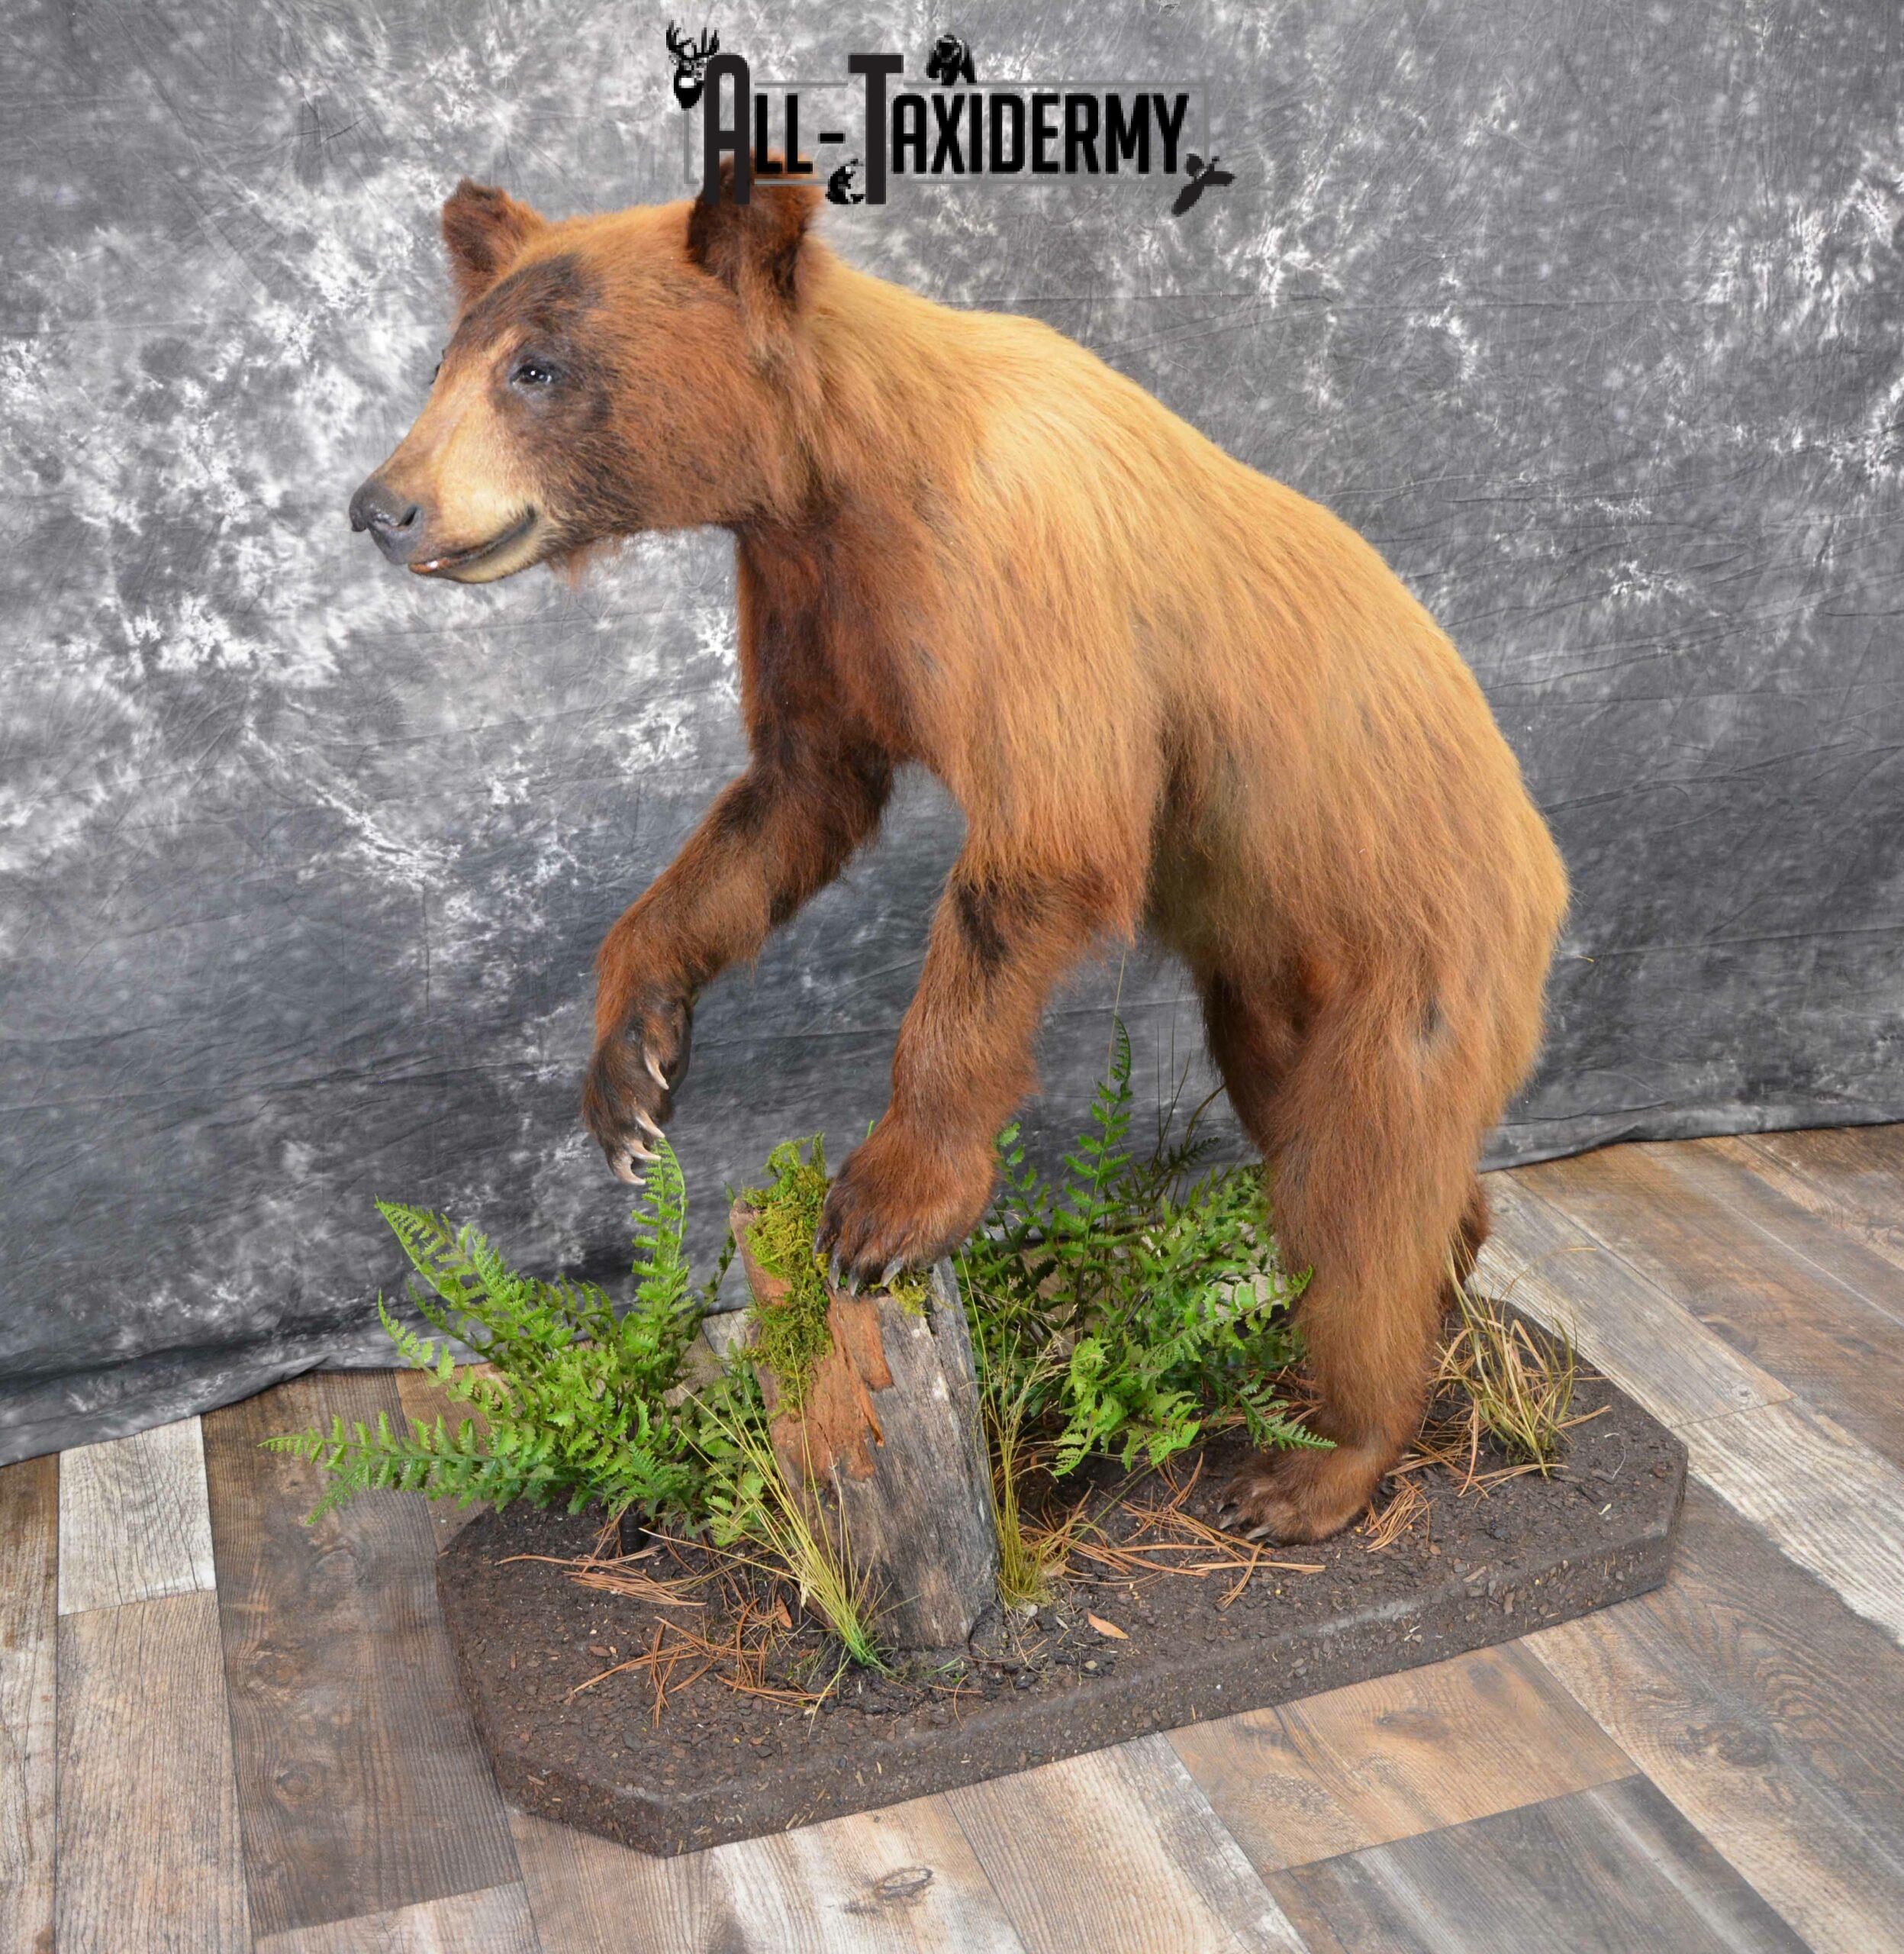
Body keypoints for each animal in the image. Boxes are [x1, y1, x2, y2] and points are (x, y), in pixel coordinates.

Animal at [348, 169, 1569, 1541]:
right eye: (447, 359)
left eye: (537, 368)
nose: (380, 504)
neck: (844, 467)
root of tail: (1543, 871)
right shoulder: (811, 593)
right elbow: (787, 801)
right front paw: (630, 1076)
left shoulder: (1023, 579)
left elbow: (1040, 855)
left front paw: (883, 1207)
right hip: (1275, 982)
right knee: (1326, 1140)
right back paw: (1452, 1258)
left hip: (1420, 953)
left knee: (1358, 1190)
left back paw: (1318, 1462)